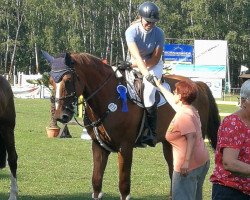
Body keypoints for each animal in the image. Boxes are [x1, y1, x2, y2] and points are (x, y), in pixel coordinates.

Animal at [42, 50, 220, 199]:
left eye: (68, 80)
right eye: (51, 81)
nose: (61, 115)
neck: (110, 98)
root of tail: (198, 85)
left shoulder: (125, 147)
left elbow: (124, 186)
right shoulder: (98, 146)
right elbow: (96, 183)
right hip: (170, 144)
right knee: (173, 171)